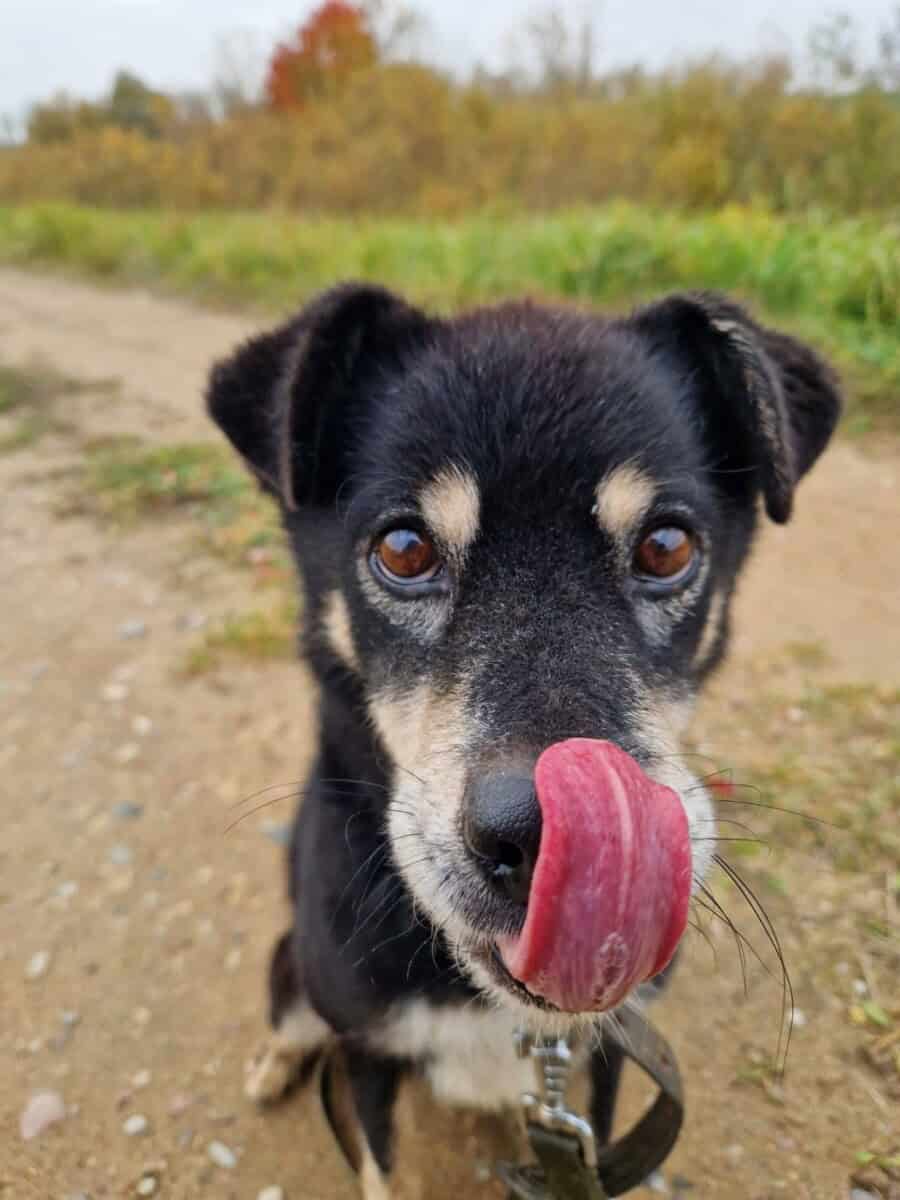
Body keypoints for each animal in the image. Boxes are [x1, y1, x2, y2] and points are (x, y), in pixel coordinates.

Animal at [207, 283, 840, 1197]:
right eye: (404, 549)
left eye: (667, 547)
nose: (547, 847)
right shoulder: (369, 1050)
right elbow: (382, 1168)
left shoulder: (607, 1058)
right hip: (297, 964)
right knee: (293, 1020)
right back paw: (273, 1064)